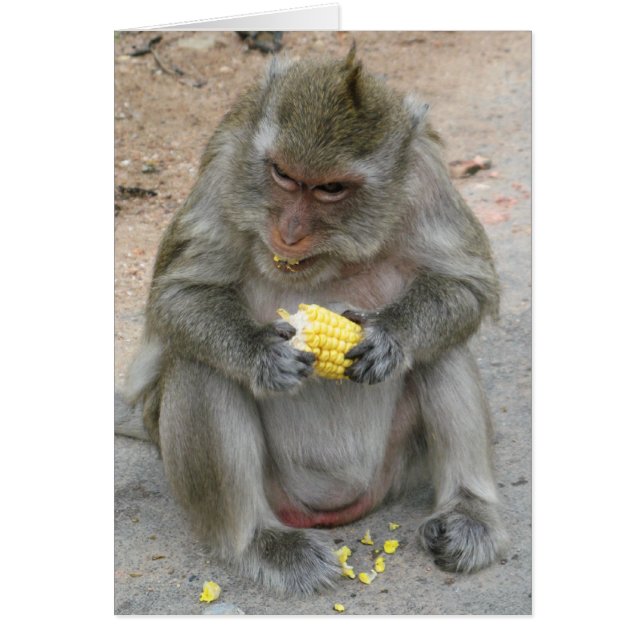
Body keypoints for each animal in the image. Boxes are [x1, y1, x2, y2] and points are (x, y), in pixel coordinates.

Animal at [116, 47, 508, 594]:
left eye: (331, 189)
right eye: (283, 175)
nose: (290, 232)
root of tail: (334, 510)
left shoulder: (428, 175)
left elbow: (466, 284)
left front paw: (390, 337)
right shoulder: (225, 164)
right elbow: (178, 296)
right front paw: (260, 353)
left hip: (396, 467)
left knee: (443, 352)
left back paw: (468, 513)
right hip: (277, 491)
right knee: (200, 366)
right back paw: (259, 542)